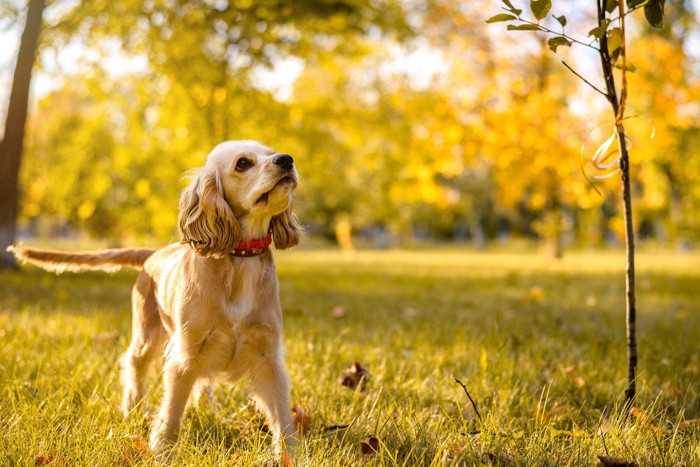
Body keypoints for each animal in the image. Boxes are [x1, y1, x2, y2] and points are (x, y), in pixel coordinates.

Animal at [8, 140, 302, 458]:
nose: (286, 160)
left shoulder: (267, 355)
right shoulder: (185, 355)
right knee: (134, 364)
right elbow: (171, 410)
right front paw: (162, 451)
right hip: (147, 334)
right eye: (243, 163)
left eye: (270, 152)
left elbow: (282, 416)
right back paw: (132, 408)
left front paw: (291, 456)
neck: (240, 258)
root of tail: (153, 254)